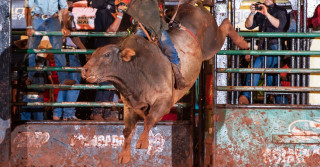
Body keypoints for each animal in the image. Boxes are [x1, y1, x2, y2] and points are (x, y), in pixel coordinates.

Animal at [80, 0, 248, 164]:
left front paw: (143, 142)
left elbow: (149, 119)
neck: (135, 72)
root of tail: (193, 4)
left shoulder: (164, 100)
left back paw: (242, 42)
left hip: (212, 43)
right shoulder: (130, 107)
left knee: (225, 23)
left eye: (107, 55)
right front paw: (125, 155)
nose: (85, 70)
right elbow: (127, 131)